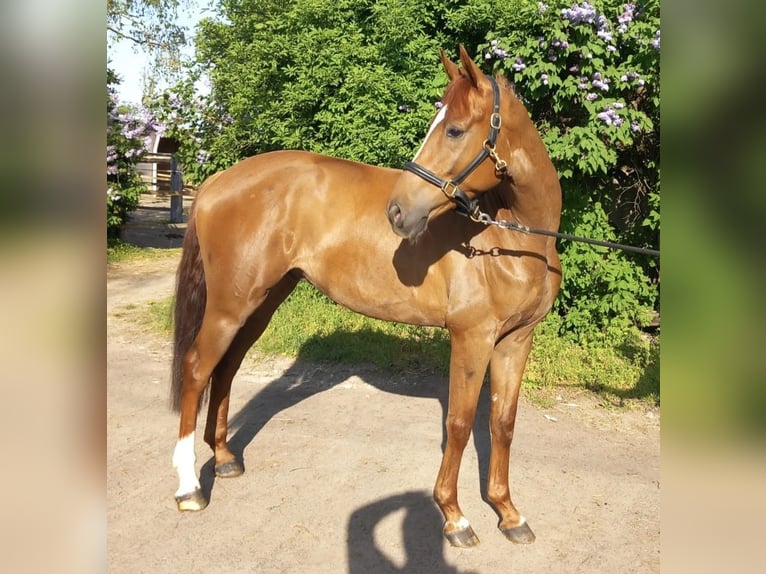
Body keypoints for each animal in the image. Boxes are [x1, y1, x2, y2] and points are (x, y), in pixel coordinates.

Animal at [170, 45, 561, 548]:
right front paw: (455, 517)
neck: (511, 238)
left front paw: (509, 513)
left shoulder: (517, 340)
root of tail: (218, 180)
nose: (398, 211)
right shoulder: (471, 338)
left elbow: (502, 423)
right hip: (228, 306)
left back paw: (223, 459)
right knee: (198, 368)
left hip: (260, 303)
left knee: (227, 368)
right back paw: (189, 488)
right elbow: (457, 425)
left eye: (454, 129)